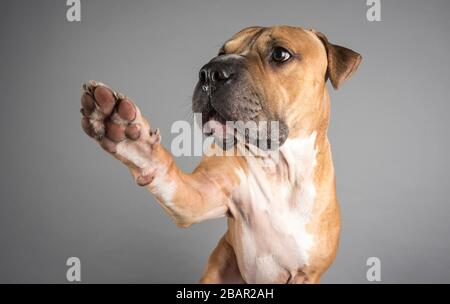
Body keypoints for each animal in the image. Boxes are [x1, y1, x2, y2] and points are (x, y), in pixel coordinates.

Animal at [80, 25, 362, 282]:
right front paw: (128, 134)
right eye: (221, 52)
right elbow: (164, 172)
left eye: (280, 54)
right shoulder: (199, 194)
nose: (210, 73)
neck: (279, 168)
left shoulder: (306, 274)